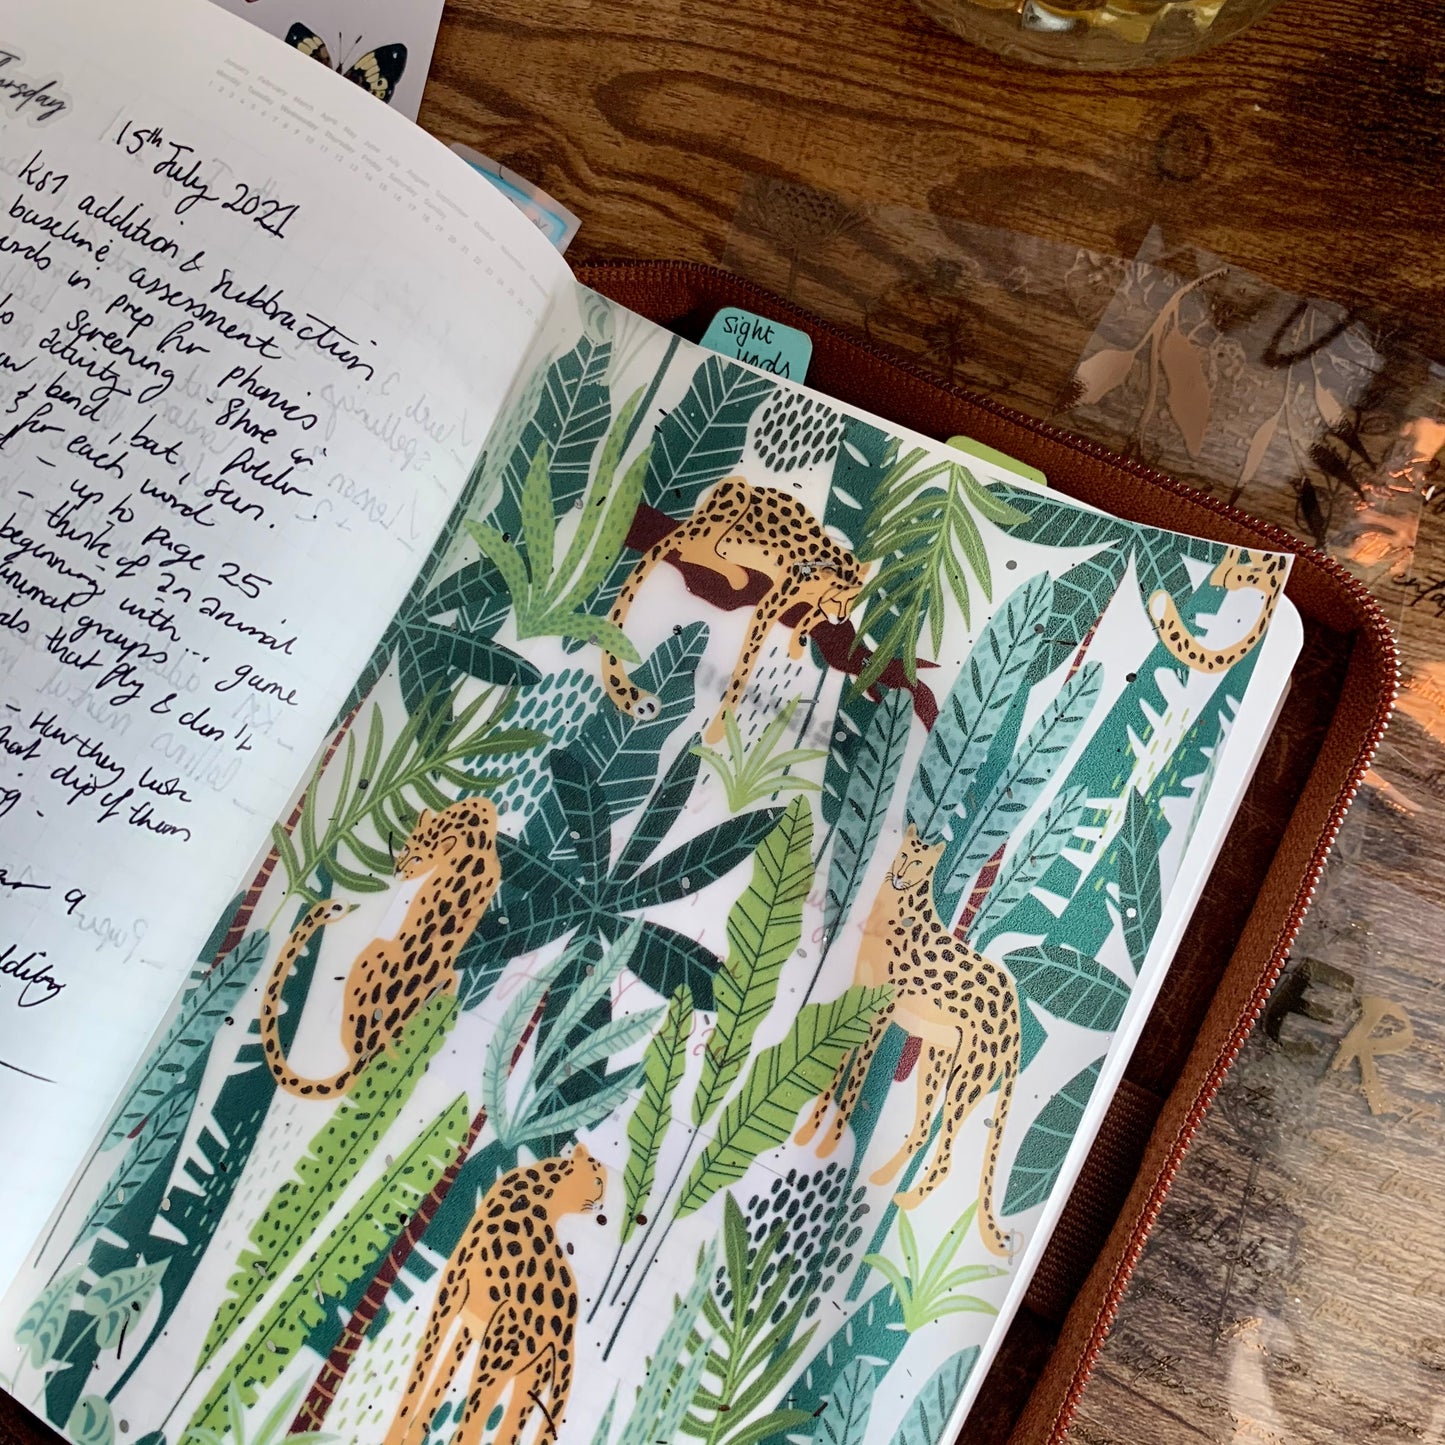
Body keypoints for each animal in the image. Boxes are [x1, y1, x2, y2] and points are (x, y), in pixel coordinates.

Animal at [382, 1144, 607, 1445]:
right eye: (598, 1181)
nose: (602, 1209)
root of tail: (567, 1331)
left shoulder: (454, 1285)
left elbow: (423, 1366)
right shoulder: (470, 1318)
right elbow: (439, 1373)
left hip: (499, 1351)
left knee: (473, 1426)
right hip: (530, 1373)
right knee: (506, 1429)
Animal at [600, 476, 866, 745]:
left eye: (852, 600)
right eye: (835, 598)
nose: (841, 617)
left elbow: (811, 617)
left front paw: (798, 641)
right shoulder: (771, 605)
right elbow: (746, 664)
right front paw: (721, 726)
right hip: (735, 493)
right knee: (691, 549)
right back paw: (735, 574)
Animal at [796, 825, 1020, 1256]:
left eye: (919, 863)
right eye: (902, 855)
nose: (899, 875)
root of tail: (1018, 1015)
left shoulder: (880, 1012)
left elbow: (856, 1081)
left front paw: (828, 1144)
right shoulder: (855, 999)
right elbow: (839, 1065)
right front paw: (808, 1132)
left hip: (967, 1078)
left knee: (946, 1155)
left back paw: (906, 1200)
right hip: (937, 1058)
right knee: (920, 1130)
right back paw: (882, 1180)